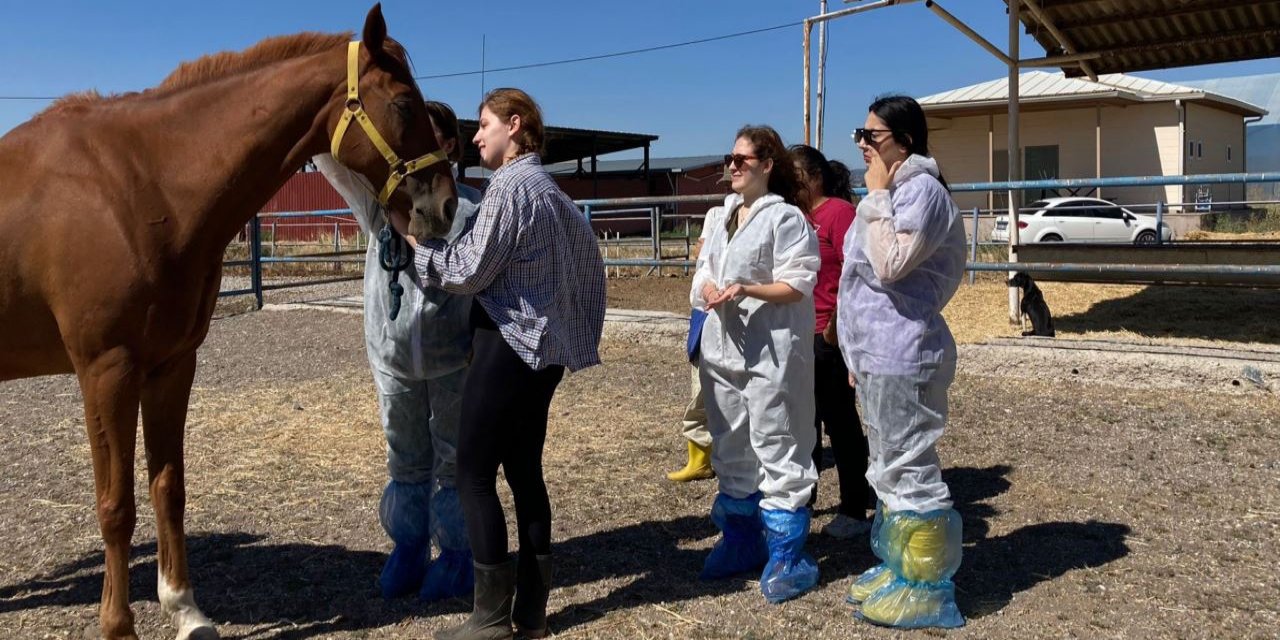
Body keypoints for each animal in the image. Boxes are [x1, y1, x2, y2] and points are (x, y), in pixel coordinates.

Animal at [0, 5, 458, 640]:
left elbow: (168, 488)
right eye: (405, 105)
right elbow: (115, 506)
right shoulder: (105, 372)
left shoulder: (170, 366)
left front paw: (184, 609)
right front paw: (119, 625)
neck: (141, 187)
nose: (444, 206)